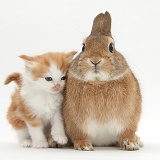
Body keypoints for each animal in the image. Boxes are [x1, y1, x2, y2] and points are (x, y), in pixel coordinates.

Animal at [62, 10, 144, 150]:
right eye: (83, 47)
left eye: (111, 47)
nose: (95, 60)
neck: (98, 82)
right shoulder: (75, 123)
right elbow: (79, 135)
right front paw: (84, 146)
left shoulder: (128, 121)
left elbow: (127, 132)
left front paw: (131, 143)